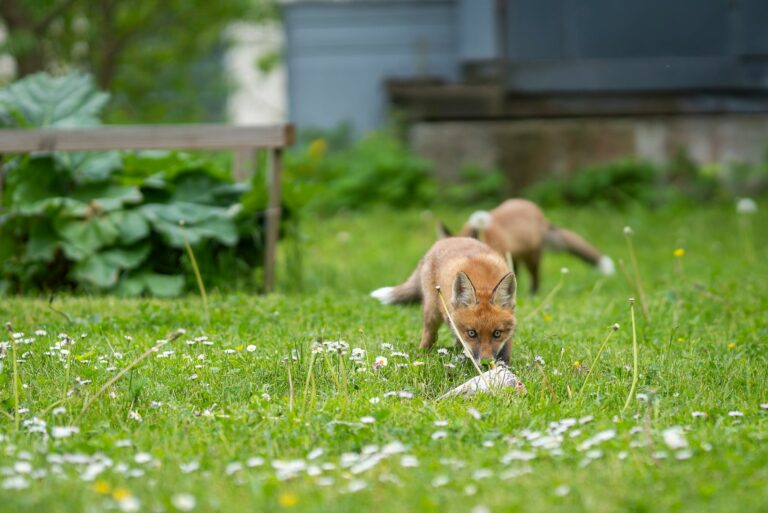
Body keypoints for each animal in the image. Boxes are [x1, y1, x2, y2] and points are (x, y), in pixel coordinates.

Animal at [370, 237, 517, 364]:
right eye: (472, 333)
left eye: (497, 333)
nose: (486, 363)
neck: (483, 282)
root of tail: (446, 240)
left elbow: (506, 351)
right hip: (432, 312)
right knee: (430, 335)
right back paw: (422, 355)